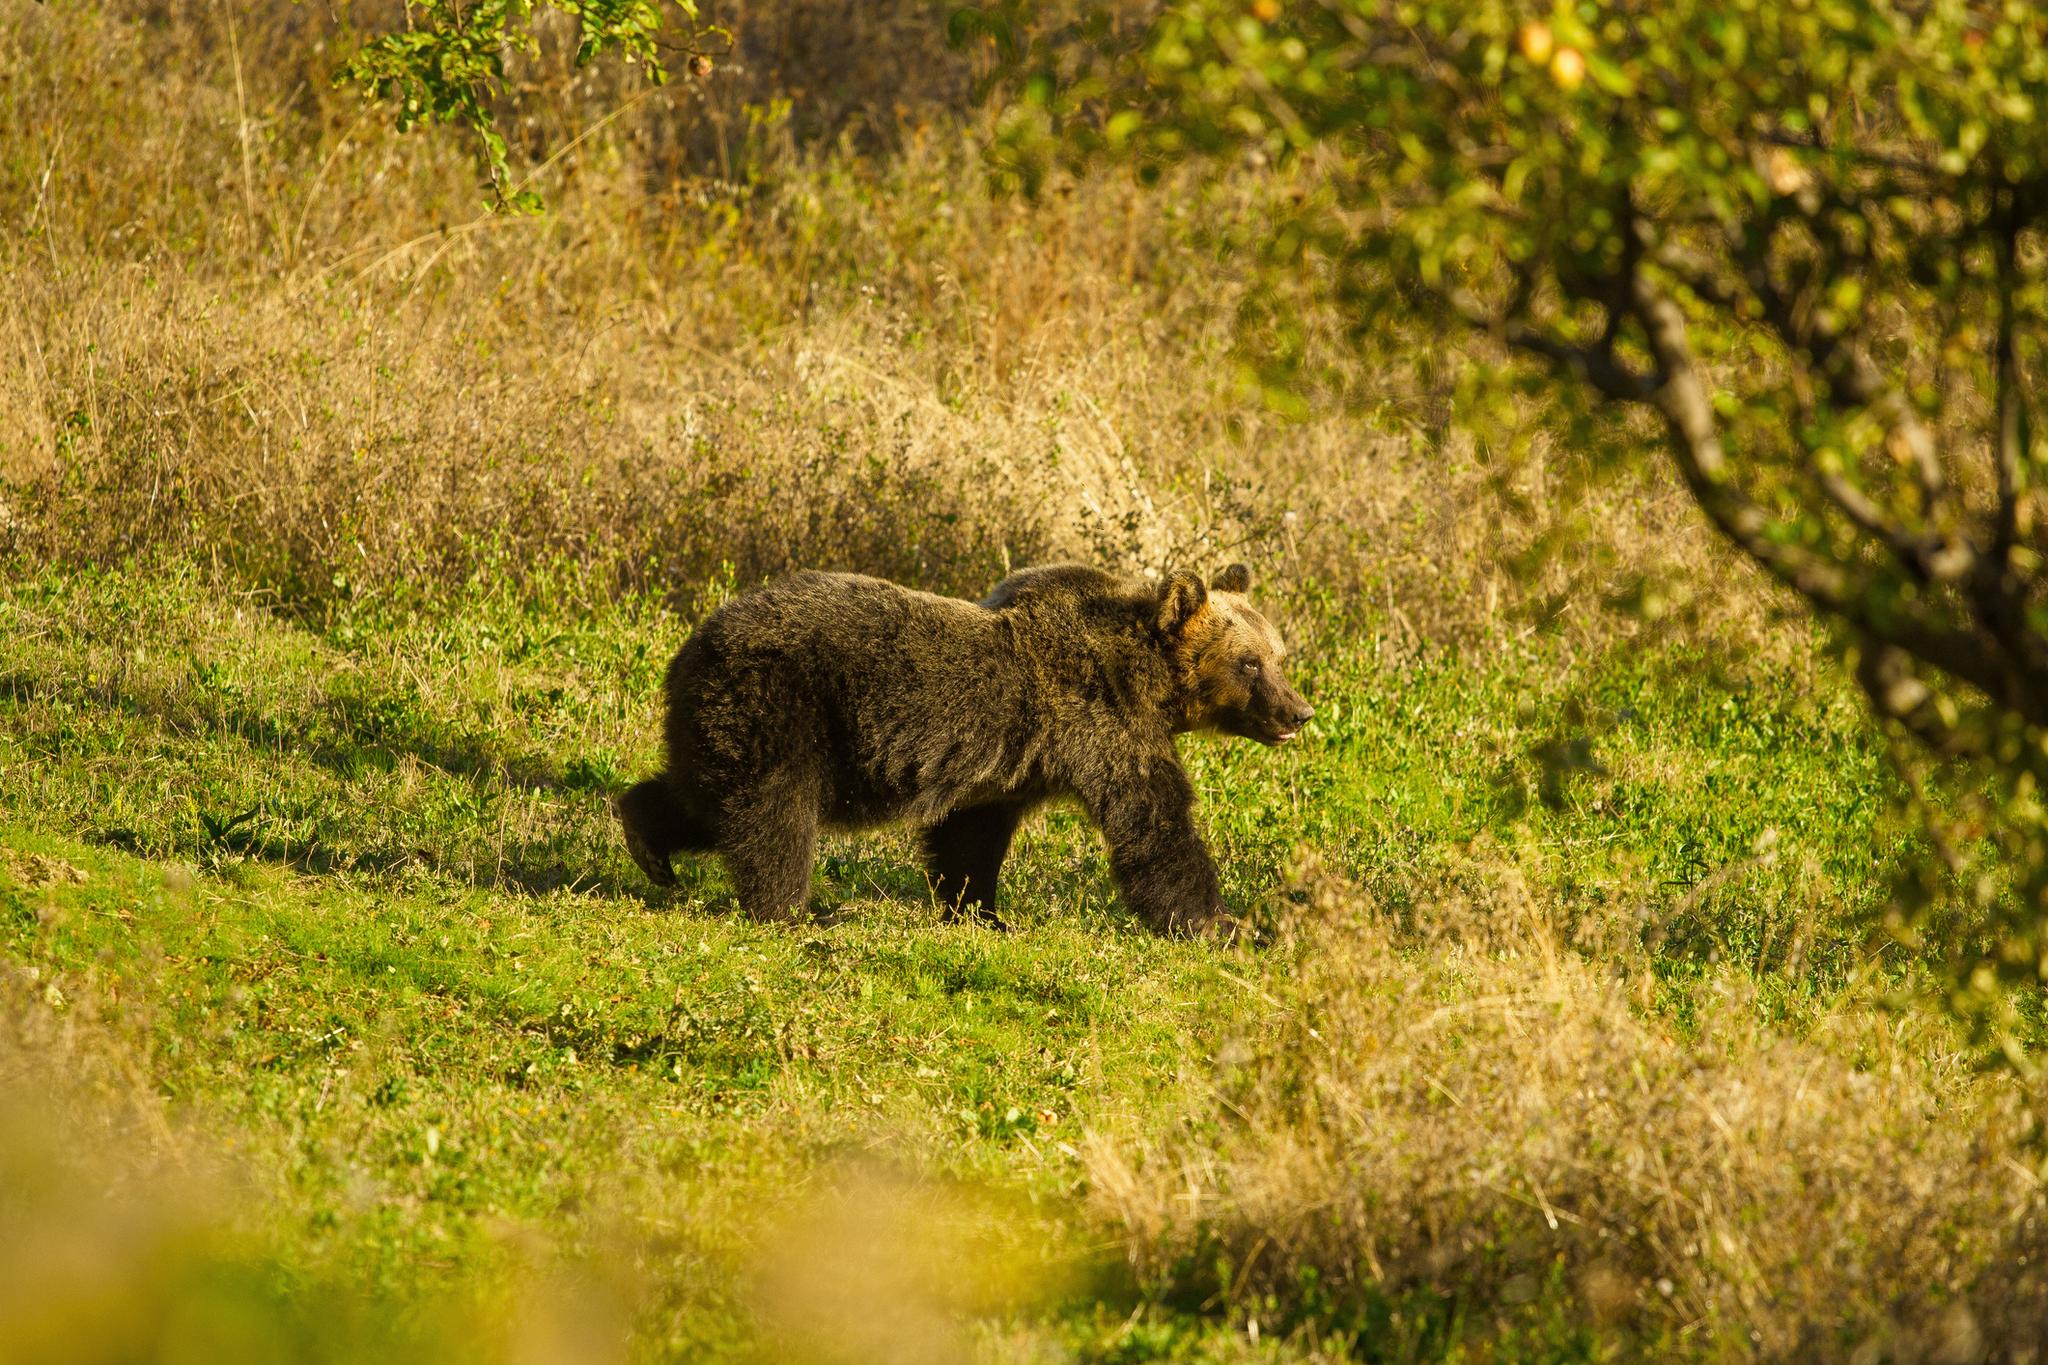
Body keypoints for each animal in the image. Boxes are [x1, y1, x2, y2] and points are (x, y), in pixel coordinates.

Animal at [610, 560, 1310, 933]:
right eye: (1249, 663)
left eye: (1279, 655)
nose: (1299, 712)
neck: (1146, 681)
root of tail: (693, 644)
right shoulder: (1104, 726)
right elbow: (1156, 828)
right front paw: (1224, 926)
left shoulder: (1009, 769)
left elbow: (970, 838)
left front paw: (982, 912)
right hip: (784, 704)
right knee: (773, 814)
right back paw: (794, 911)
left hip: (725, 717)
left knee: (707, 796)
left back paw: (648, 842)